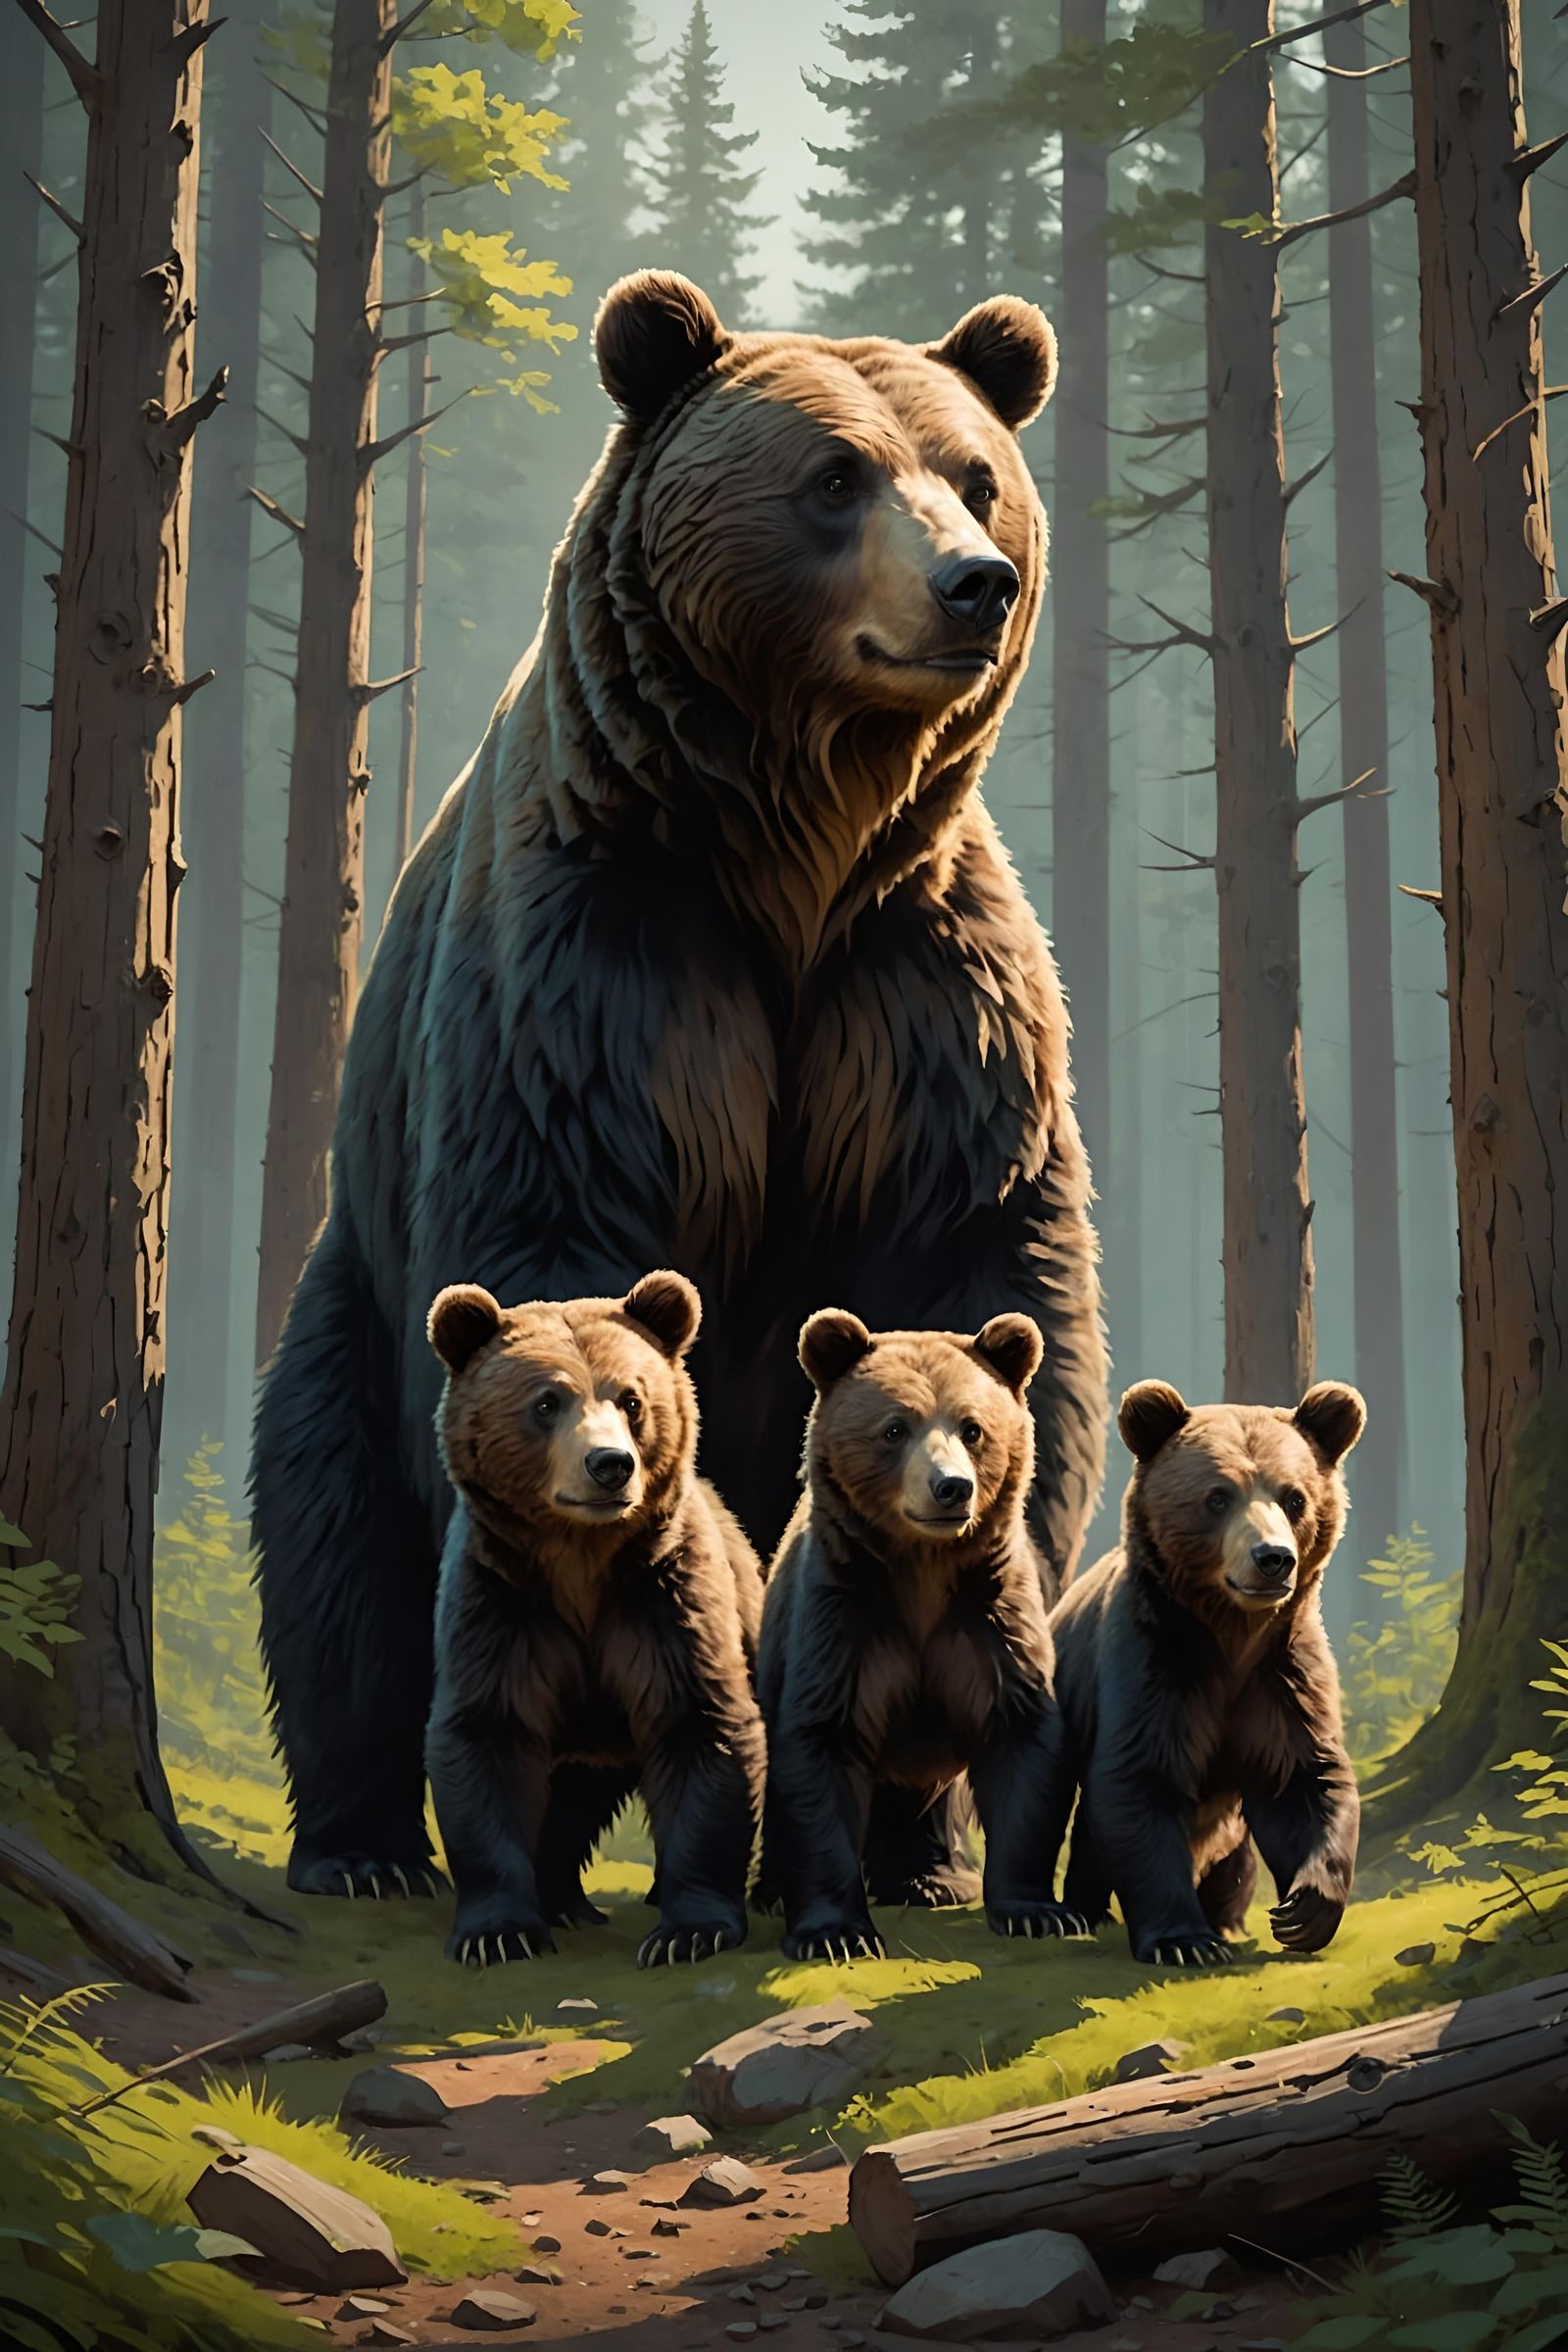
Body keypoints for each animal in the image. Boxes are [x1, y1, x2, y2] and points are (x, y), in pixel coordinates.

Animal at [422, 1267, 765, 1967]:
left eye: (630, 1399)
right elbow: (488, 1735)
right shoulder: (501, 1603)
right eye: (547, 1402)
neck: (579, 1563)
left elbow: (703, 1727)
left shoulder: (666, 1600)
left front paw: (689, 1931)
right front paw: (498, 1932)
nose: (610, 1464)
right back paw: (561, 1900)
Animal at [755, 1306, 1088, 1961]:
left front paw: (1037, 1911)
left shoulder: (989, 1623)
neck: (922, 1570)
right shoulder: (845, 1621)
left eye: (973, 1428)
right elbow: (820, 1748)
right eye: (893, 1428)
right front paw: (836, 1933)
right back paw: (770, 1892)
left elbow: (1023, 1746)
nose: (951, 1487)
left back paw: (931, 1878)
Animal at [1048, 1378, 1366, 1966]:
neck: (1231, 1636)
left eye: (1294, 1497)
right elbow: (1140, 1782)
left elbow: (1303, 1779)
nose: (1273, 1558)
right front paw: (1183, 1941)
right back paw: (1083, 1908)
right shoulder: (1158, 1663)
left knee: (1232, 1857)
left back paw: (1227, 1917)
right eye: (1218, 1497)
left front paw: (1303, 1911)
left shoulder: (1282, 1676)